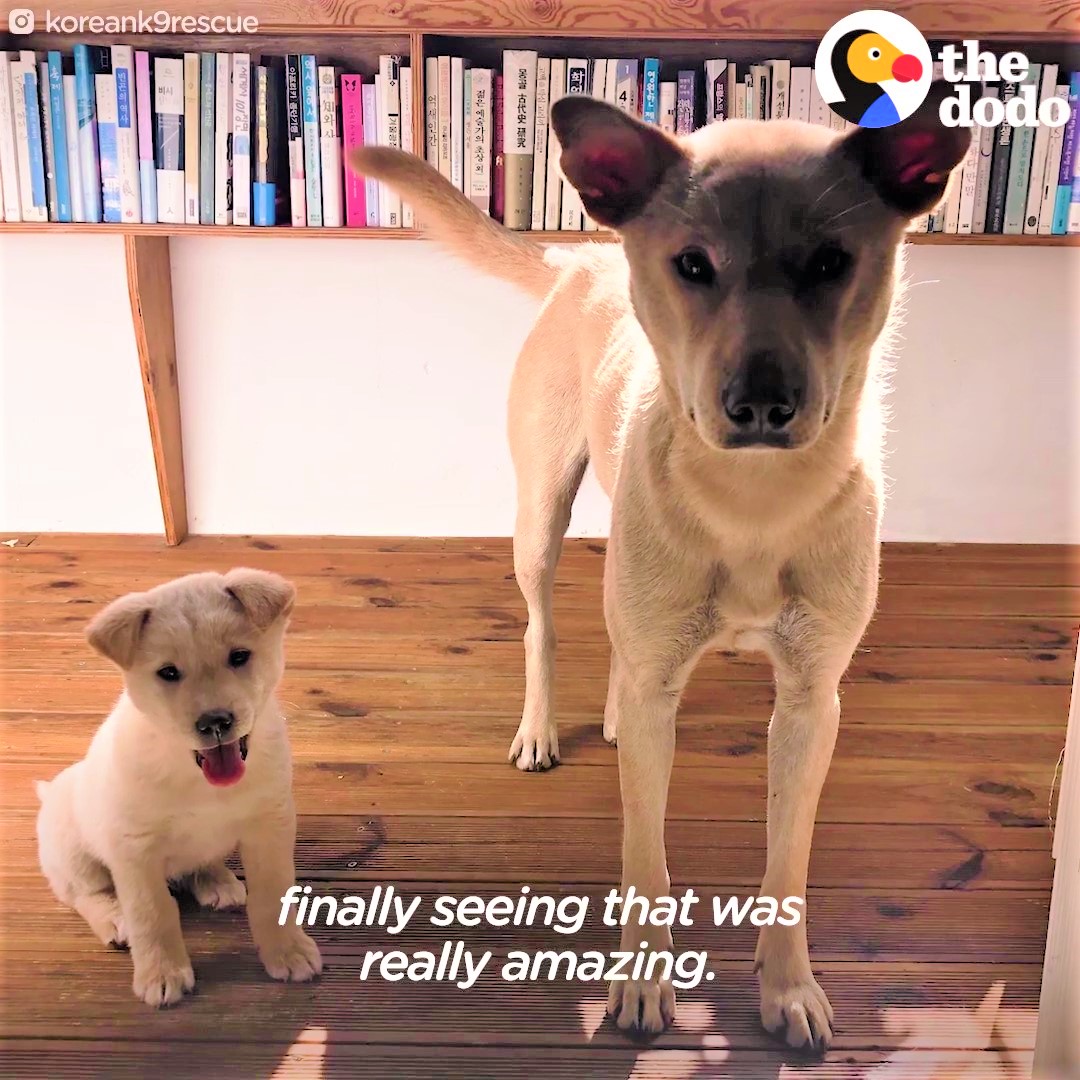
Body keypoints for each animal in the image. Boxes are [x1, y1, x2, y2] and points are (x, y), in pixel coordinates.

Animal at [36, 569, 322, 1007]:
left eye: (239, 657)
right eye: (168, 673)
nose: (215, 722)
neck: (196, 778)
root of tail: (49, 794)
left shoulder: (270, 824)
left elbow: (273, 894)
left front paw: (287, 950)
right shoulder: (135, 848)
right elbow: (153, 913)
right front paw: (161, 973)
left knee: (198, 864)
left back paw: (217, 881)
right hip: (72, 851)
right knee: (87, 894)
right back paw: (114, 919)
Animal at [351, 86, 968, 1049]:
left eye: (832, 262)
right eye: (692, 265)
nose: (761, 403)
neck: (754, 499)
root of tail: (582, 257)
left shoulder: (811, 703)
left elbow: (788, 862)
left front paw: (787, 988)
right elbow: (644, 849)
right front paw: (643, 982)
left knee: (621, 645)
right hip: (540, 514)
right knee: (544, 625)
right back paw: (543, 727)